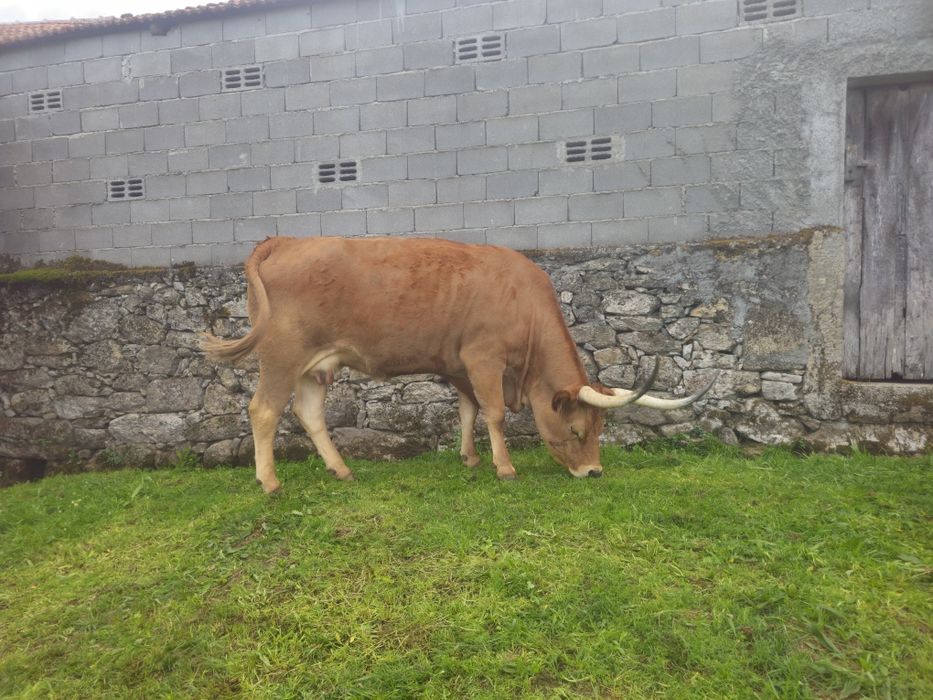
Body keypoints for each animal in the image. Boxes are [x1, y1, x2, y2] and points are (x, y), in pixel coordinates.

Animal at [202, 236, 716, 492]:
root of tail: (285, 239)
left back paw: (342, 471)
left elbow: (467, 410)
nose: (594, 473)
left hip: (316, 364)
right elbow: (493, 414)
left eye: (601, 430)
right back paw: (270, 482)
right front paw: (504, 469)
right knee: (264, 411)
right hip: (282, 355)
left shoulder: (459, 365)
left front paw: (469, 458)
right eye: (576, 431)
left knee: (309, 414)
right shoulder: (483, 357)